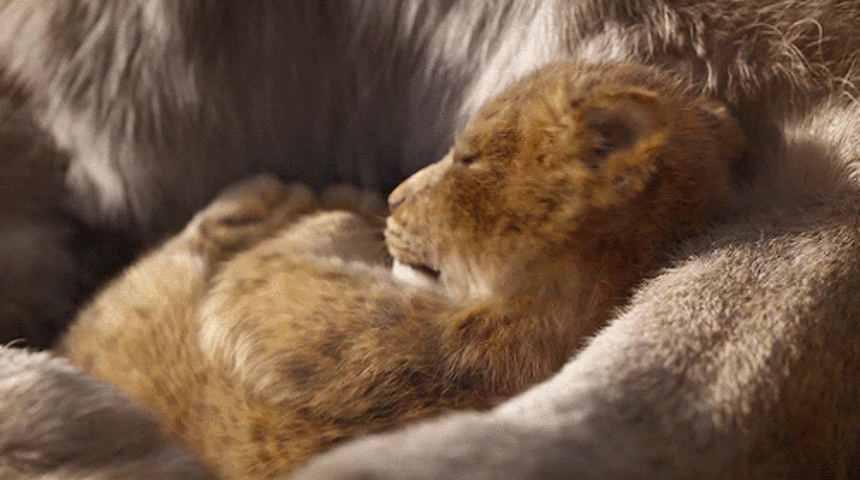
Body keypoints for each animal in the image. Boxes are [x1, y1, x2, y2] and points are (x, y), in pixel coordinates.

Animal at [54, 60, 741, 479]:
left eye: (468, 159)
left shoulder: (342, 339)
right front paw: (349, 203)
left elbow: (269, 268)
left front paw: (331, 207)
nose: (393, 195)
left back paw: (266, 196)